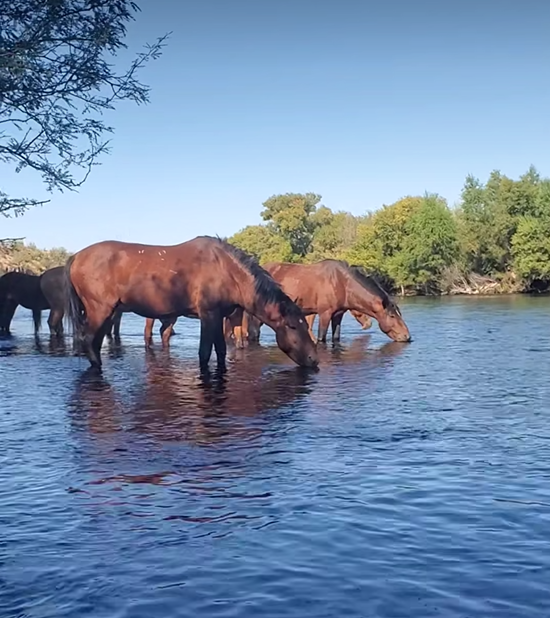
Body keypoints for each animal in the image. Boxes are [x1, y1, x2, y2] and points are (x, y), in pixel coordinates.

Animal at [66, 236, 320, 370]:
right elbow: (205, 352)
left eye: (305, 324)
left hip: (107, 312)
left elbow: (220, 350)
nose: (313, 359)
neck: (227, 271)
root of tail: (76, 257)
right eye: (292, 326)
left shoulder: (218, 316)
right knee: (89, 340)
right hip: (99, 309)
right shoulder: (208, 315)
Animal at [260, 258, 412, 342]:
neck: (341, 282)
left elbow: (336, 337)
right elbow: (321, 338)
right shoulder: (324, 314)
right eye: (392, 316)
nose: (407, 336)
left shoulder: (338, 315)